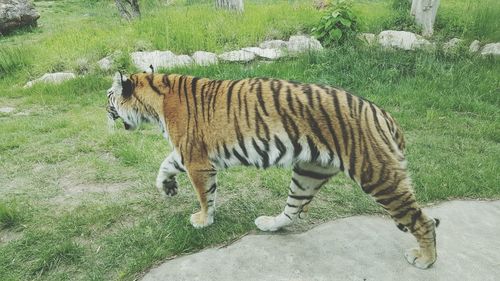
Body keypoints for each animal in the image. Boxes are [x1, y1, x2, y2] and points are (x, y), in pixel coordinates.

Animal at [104, 71, 438, 268]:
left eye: (109, 97)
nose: (103, 110)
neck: (155, 101)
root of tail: (382, 113)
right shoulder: (188, 153)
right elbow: (166, 163)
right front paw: (168, 187)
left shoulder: (196, 159)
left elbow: (204, 194)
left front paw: (203, 220)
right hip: (309, 171)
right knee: (293, 210)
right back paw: (268, 223)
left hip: (376, 175)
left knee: (422, 220)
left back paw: (425, 259)